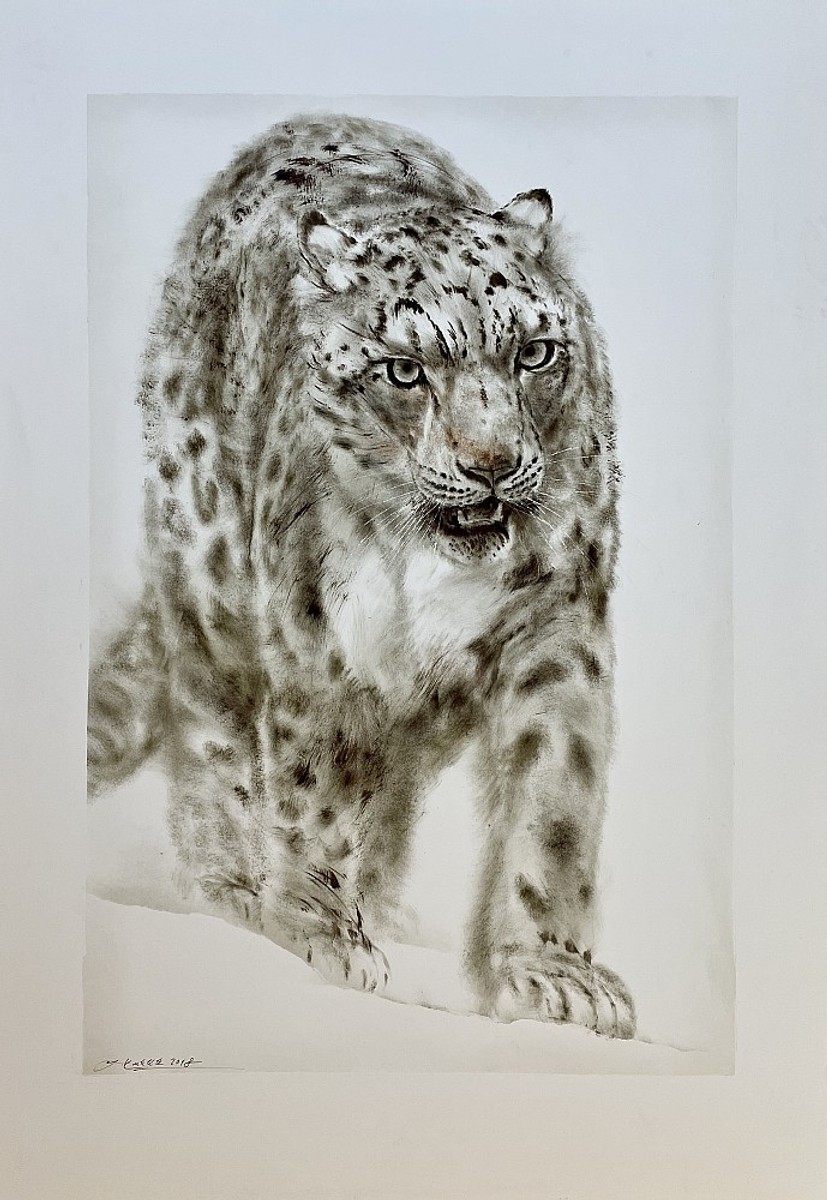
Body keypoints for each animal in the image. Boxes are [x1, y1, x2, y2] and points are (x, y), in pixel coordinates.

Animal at [87, 113, 635, 1038]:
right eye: (404, 370)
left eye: (533, 354)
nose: (491, 466)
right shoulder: (320, 640)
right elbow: (312, 790)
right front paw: (317, 931)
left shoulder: (556, 625)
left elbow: (554, 801)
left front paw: (554, 974)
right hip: (211, 579)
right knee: (211, 730)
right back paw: (230, 887)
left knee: (391, 795)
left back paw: (373, 903)